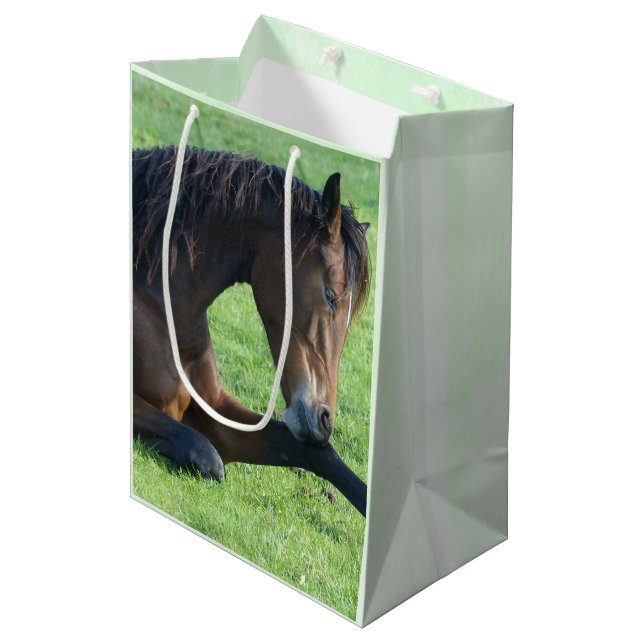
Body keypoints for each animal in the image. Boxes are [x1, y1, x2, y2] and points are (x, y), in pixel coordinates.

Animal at [132, 145, 371, 516]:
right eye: (330, 296)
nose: (324, 420)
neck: (157, 298)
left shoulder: (216, 407)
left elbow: (316, 453)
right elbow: (206, 456)